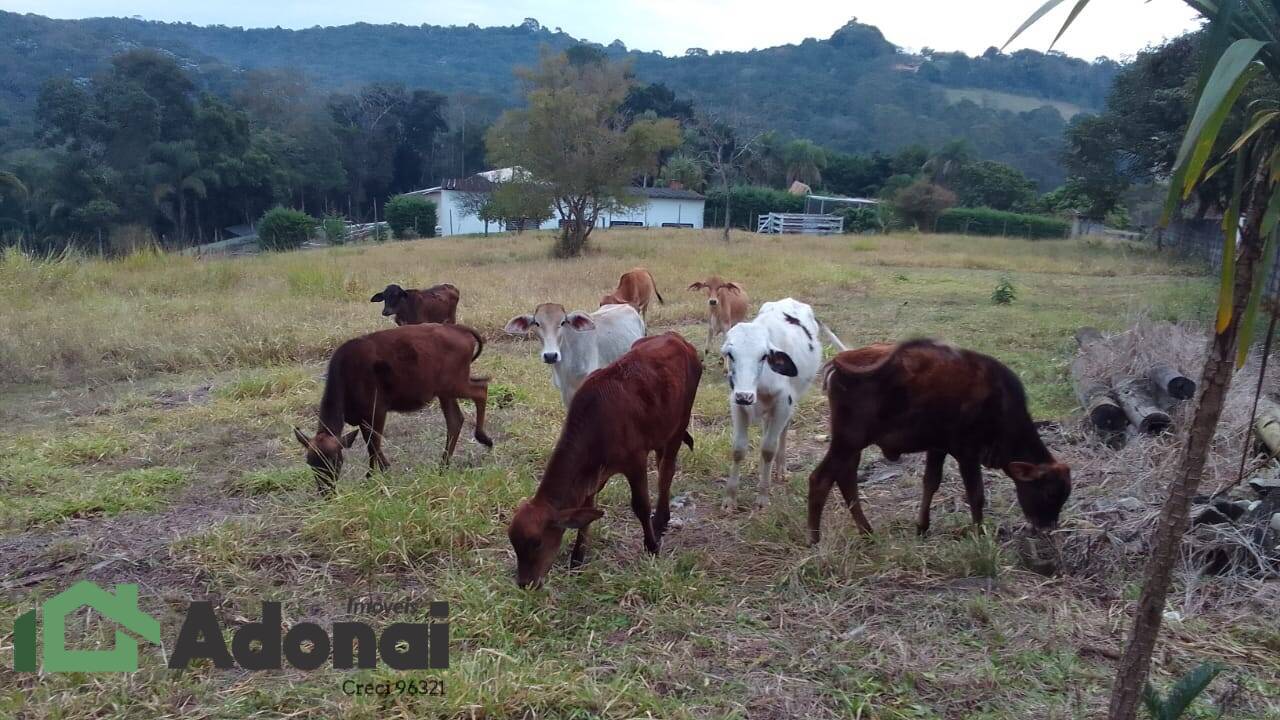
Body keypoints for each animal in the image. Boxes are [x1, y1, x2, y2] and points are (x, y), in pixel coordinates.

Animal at [293, 320, 491, 491]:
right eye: (310, 463)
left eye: (336, 461)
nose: (326, 491)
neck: (346, 376)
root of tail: (460, 329)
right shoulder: (361, 418)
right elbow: (371, 444)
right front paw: (374, 474)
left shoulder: (377, 410)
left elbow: (374, 444)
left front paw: (379, 474)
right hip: (444, 391)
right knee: (455, 420)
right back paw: (443, 465)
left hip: (454, 384)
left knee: (481, 389)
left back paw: (484, 438)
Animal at [506, 333, 701, 586]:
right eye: (514, 544)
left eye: (536, 543)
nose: (525, 583)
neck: (597, 422)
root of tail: (676, 337)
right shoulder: (592, 475)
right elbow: (587, 512)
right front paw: (577, 559)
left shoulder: (635, 461)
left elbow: (640, 505)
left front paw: (651, 546)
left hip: (679, 424)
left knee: (666, 472)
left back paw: (659, 521)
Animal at [721, 294, 839, 507]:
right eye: (730, 354)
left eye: (763, 356)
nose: (745, 396)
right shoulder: (737, 405)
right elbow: (738, 449)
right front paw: (730, 498)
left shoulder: (783, 404)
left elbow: (768, 448)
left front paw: (762, 496)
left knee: (782, 431)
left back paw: (780, 469)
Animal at [808, 338, 1070, 540]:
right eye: (1050, 493)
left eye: (1064, 496)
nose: (1046, 529)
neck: (999, 403)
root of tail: (840, 361)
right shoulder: (967, 453)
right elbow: (976, 494)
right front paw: (980, 534)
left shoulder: (938, 448)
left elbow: (931, 482)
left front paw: (922, 527)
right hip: (848, 441)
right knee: (820, 479)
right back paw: (814, 539)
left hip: (852, 446)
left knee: (845, 478)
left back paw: (867, 532)